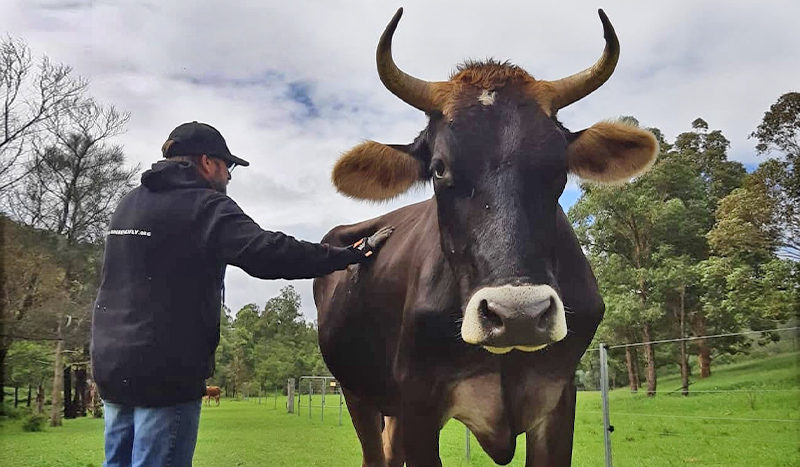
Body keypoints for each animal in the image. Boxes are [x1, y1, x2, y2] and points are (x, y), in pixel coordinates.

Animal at [312, 8, 656, 467]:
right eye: (439, 168)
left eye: (558, 167)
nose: (518, 315)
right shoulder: (417, 405)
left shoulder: (557, 398)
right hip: (357, 394)